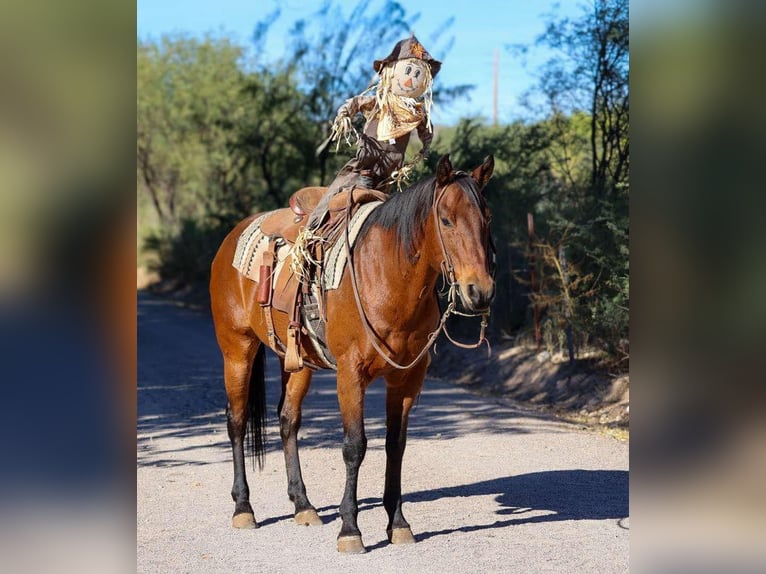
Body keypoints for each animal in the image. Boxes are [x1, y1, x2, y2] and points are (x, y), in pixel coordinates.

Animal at [209, 154, 495, 553]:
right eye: (446, 219)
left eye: (487, 218)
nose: (479, 291)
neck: (387, 276)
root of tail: (231, 237)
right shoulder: (350, 374)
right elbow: (354, 446)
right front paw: (350, 529)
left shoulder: (407, 378)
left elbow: (395, 445)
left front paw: (398, 523)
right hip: (237, 349)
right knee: (236, 420)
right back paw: (243, 508)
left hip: (297, 363)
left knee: (287, 420)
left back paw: (303, 505)